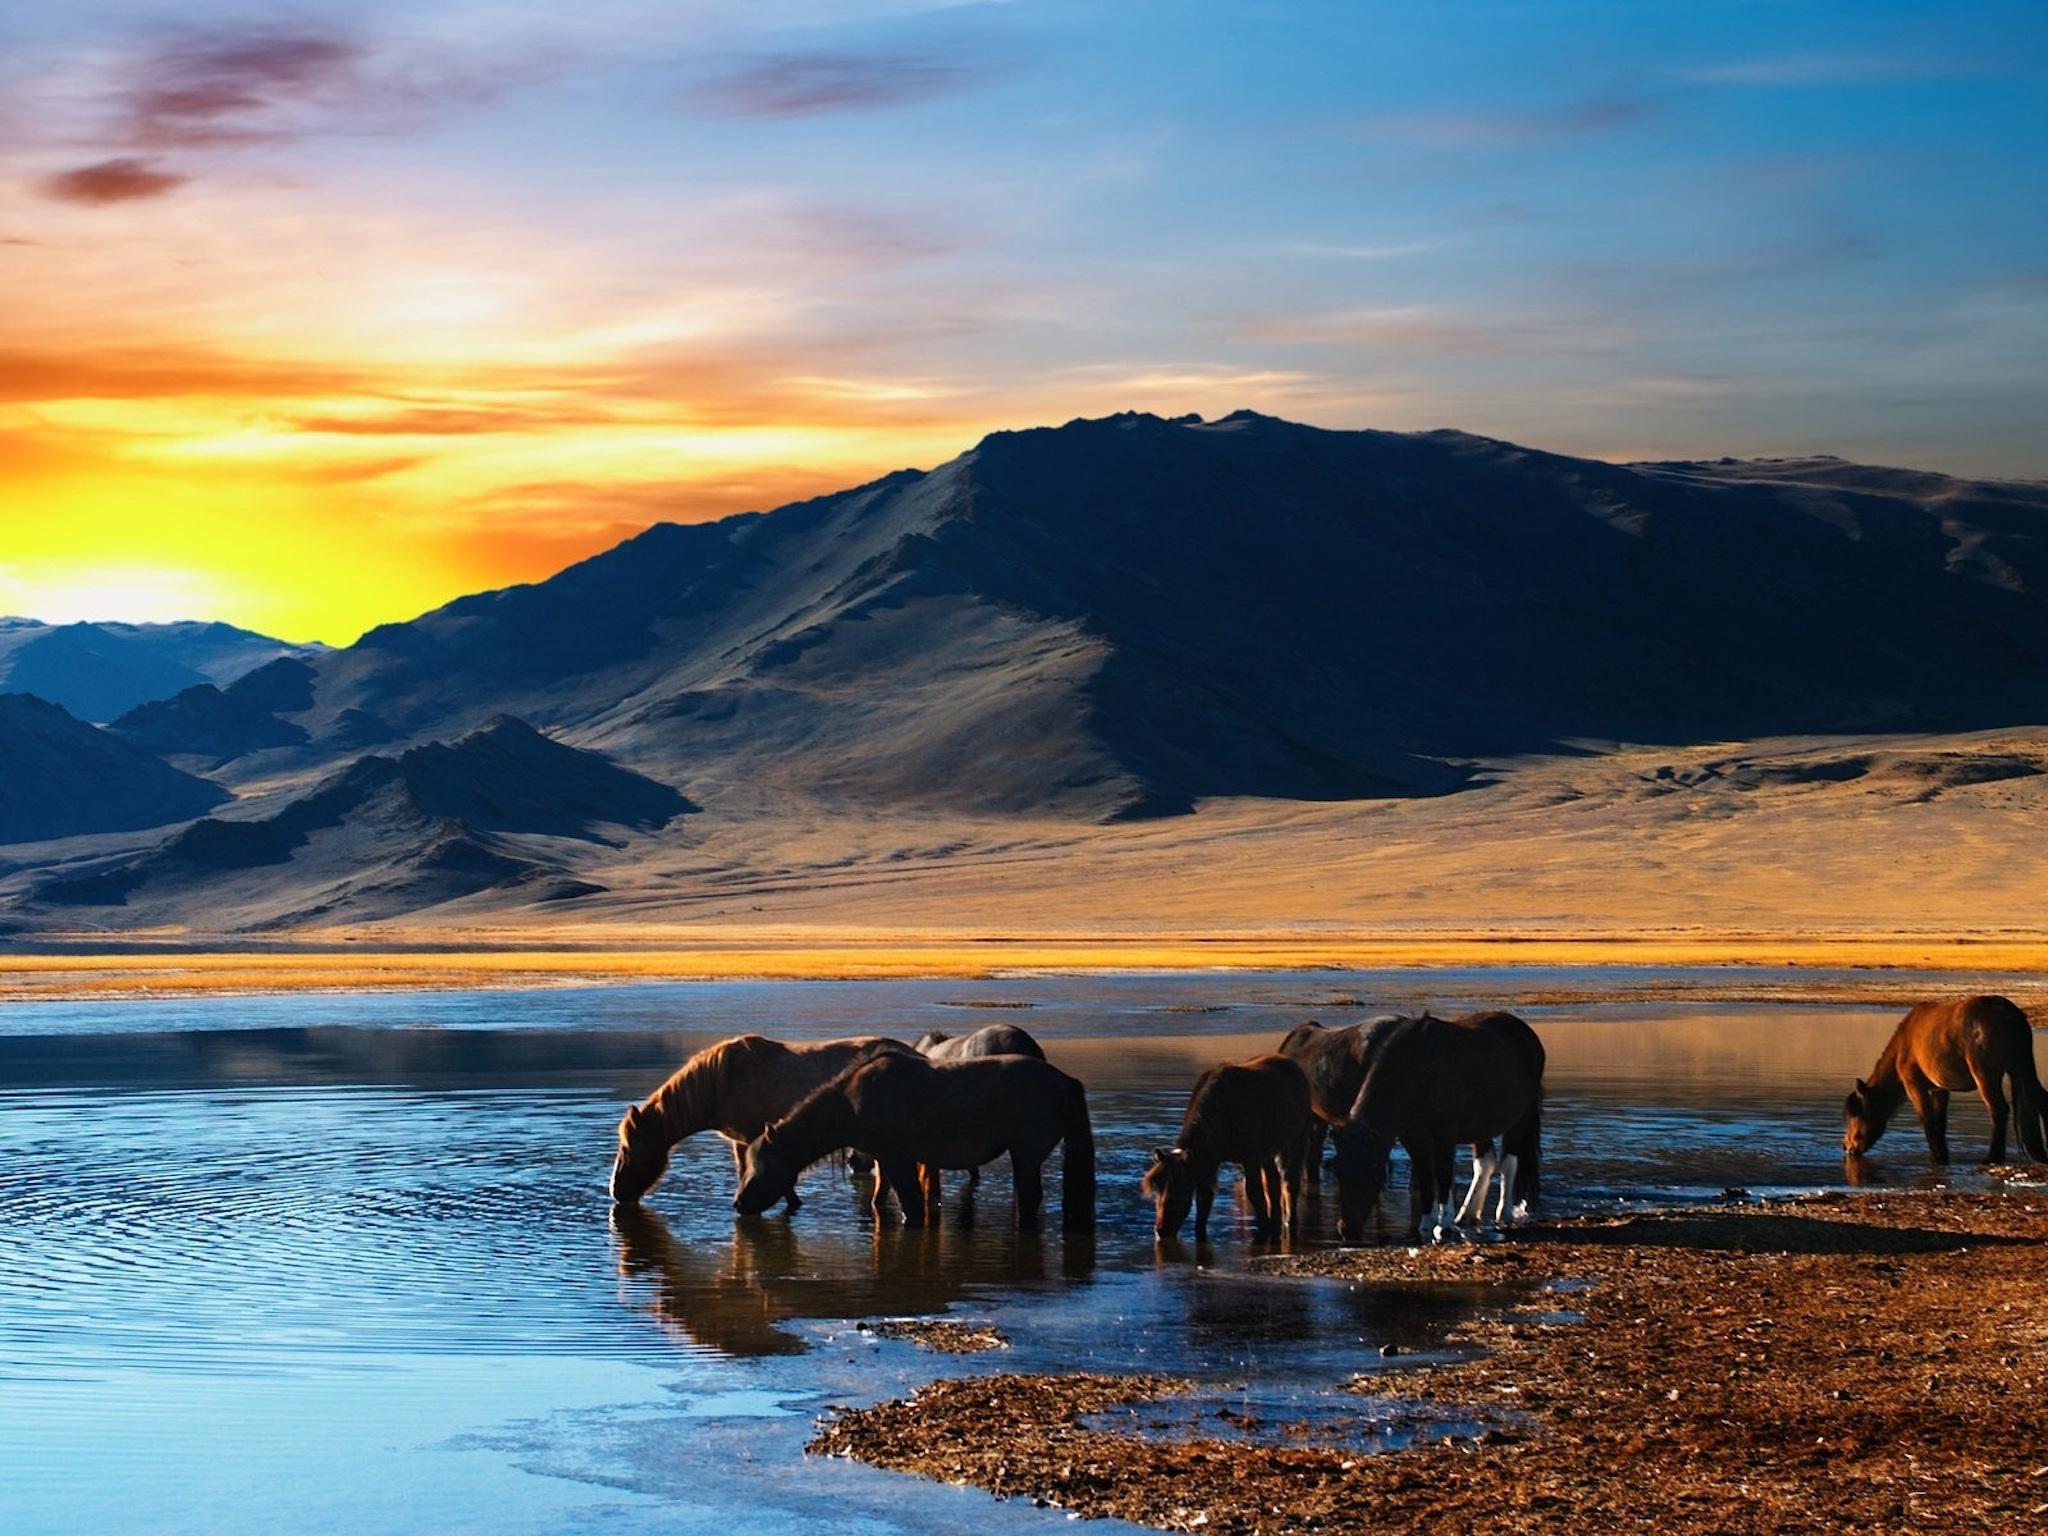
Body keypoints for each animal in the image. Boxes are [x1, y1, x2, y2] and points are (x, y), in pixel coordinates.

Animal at [735, 1052, 1095, 1232]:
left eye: (760, 1165)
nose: (738, 1204)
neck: (853, 1102)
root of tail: (1064, 1081)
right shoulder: (884, 1159)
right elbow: (886, 1197)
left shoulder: (896, 1158)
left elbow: (910, 1203)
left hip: (1026, 1154)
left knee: (1030, 1197)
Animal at [1142, 1053, 1312, 1241]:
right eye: (1157, 1190)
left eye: (1179, 1188)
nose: (1160, 1230)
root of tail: (1293, 1065)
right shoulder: (1209, 1161)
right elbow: (1204, 1200)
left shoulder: (1250, 1158)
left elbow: (1255, 1192)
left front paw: (1264, 1227)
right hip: (1268, 1151)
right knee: (1273, 1183)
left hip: (1299, 1136)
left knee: (1290, 1181)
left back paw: (1290, 1220)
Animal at [1844, 995, 2047, 1165]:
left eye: (1855, 1114)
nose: (1846, 1146)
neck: (1903, 1044)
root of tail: (2011, 1014)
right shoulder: (1938, 1089)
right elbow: (1939, 1121)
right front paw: (1942, 1154)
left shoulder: (1914, 1086)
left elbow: (1926, 1118)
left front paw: (1937, 1156)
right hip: (2022, 1068)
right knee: (2040, 1100)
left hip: (1986, 1075)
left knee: (1998, 1109)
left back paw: (1992, 1157)